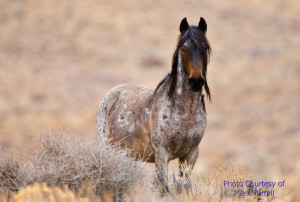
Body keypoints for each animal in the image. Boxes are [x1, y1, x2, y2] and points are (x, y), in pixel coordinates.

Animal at [96, 17, 211, 193]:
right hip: (107, 147)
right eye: (183, 49)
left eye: (205, 48)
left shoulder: (191, 154)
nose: (197, 81)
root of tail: (110, 93)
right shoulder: (162, 154)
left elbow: (183, 185)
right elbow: (164, 186)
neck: (185, 114)